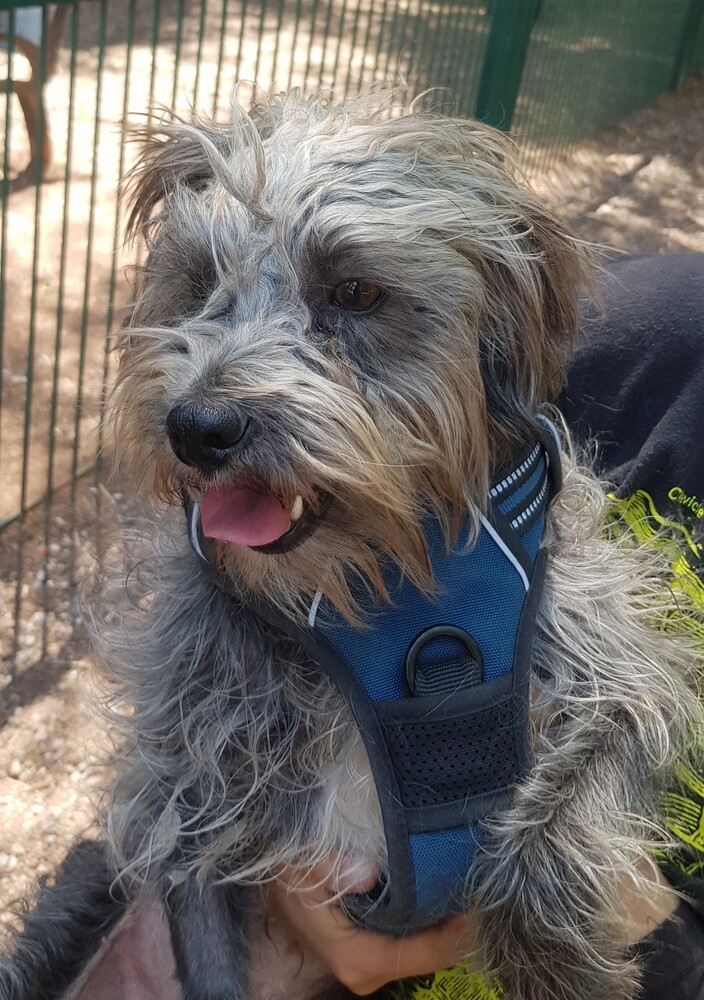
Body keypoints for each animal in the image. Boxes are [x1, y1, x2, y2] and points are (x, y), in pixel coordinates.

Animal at [2, 90, 700, 996]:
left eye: (356, 291)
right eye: (199, 281)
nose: (196, 428)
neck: (373, 587)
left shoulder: (624, 669)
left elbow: (577, 792)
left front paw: (549, 961)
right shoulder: (189, 788)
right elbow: (207, 938)